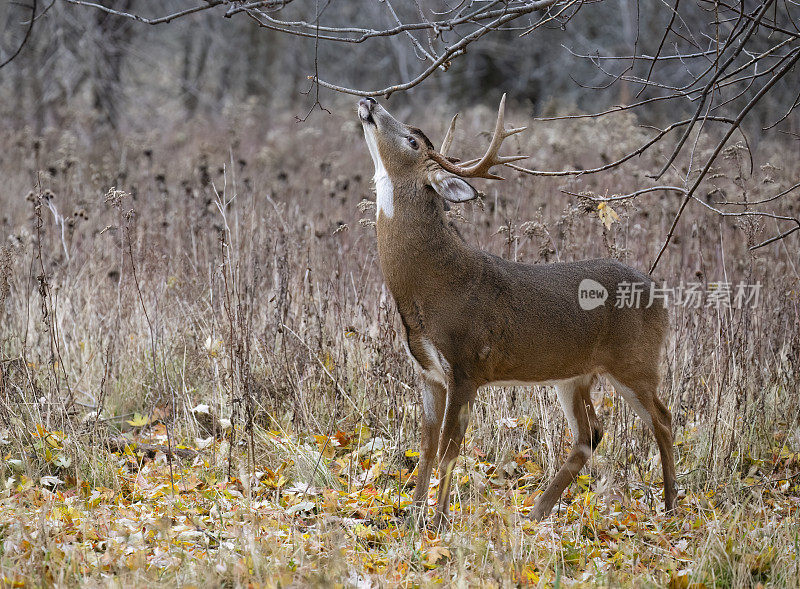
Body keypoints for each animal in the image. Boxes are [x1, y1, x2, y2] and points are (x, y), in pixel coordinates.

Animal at [358, 94, 676, 524]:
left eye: (412, 141)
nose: (370, 101)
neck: (430, 286)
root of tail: (661, 296)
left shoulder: (468, 364)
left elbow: (449, 448)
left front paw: (437, 522)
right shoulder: (428, 371)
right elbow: (424, 447)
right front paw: (412, 517)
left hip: (636, 361)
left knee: (663, 419)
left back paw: (671, 506)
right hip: (574, 375)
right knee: (591, 433)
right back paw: (536, 513)